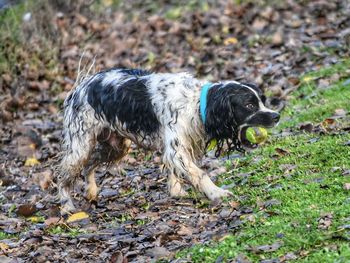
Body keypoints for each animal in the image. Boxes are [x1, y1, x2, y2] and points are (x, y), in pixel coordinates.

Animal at [58, 68, 280, 214]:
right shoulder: (176, 149)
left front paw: (177, 192)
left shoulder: (178, 147)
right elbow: (199, 174)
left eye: (262, 100)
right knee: (62, 176)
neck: (196, 103)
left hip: (115, 146)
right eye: (249, 105)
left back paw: (91, 191)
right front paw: (216, 193)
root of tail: (79, 87)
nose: (276, 116)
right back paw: (67, 206)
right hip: (80, 146)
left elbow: (175, 173)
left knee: (89, 165)